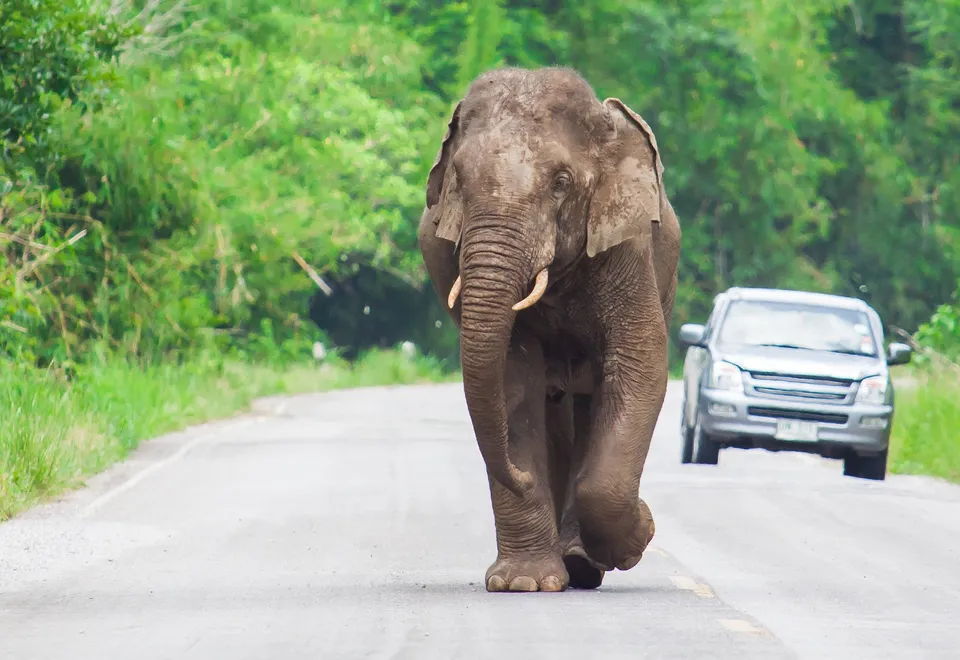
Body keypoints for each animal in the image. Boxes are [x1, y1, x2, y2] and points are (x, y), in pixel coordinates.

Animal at [417, 66, 681, 592]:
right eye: (460, 180)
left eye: (561, 182)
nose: (519, 476)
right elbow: (511, 381)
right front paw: (523, 584)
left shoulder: (628, 249)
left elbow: (640, 366)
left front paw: (640, 534)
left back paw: (581, 563)